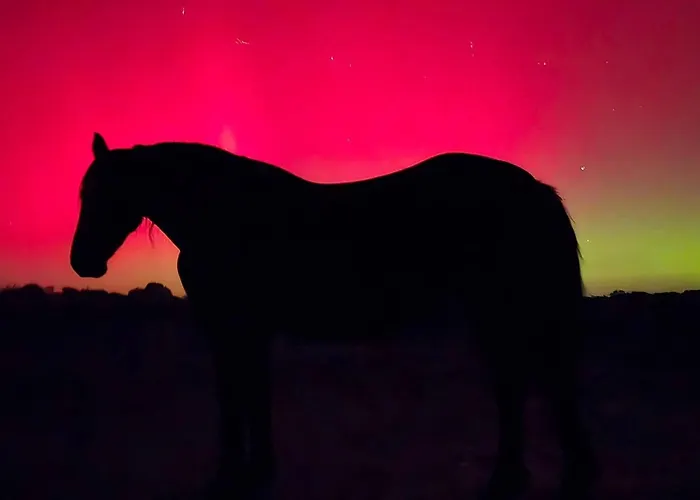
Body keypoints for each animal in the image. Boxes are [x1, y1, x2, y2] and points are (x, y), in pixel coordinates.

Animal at [70, 133, 598, 500]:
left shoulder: (238, 330)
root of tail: (534, 189)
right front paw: (250, 470)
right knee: (522, 388)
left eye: (106, 194)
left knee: (529, 387)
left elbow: (241, 398)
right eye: (83, 194)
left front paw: (239, 474)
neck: (222, 217)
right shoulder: (240, 333)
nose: (82, 262)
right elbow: (246, 397)